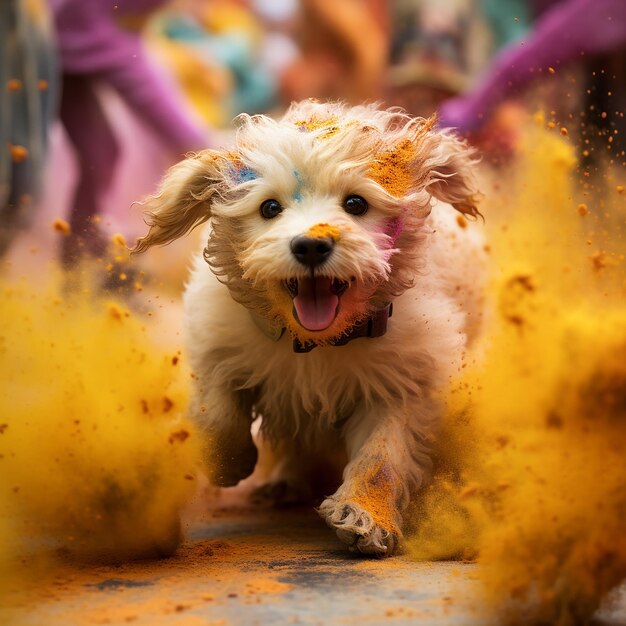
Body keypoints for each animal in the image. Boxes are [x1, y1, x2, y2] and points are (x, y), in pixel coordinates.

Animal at [135, 100, 482, 552]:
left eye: (356, 204)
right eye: (269, 208)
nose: (311, 245)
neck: (317, 343)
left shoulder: (404, 381)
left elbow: (382, 456)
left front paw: (364, 515)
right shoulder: (216, 338)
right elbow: (220, 408)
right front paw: (227, 463)